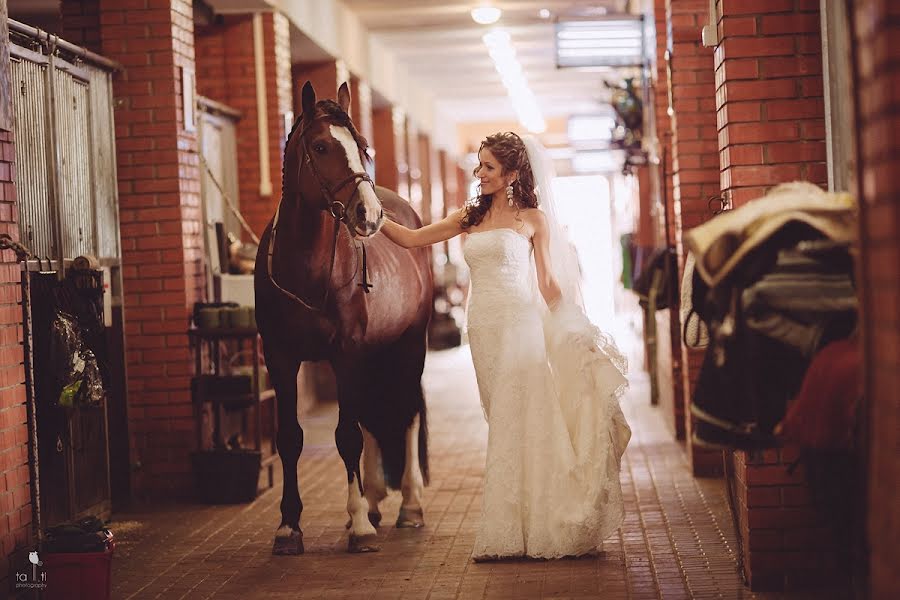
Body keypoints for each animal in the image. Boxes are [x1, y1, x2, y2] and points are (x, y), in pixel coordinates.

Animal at [255, 81, 434, 552]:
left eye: (363, 145)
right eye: (320, 146)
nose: (368, 215)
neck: (307, 271)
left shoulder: (346, 353)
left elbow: (347, 436)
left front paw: (359, 527)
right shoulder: (280, 359)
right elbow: (291, 438)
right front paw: (288, 527)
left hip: (411, 344)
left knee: (407, 413)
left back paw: (409, 507)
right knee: (371, 416)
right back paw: (372, 500)